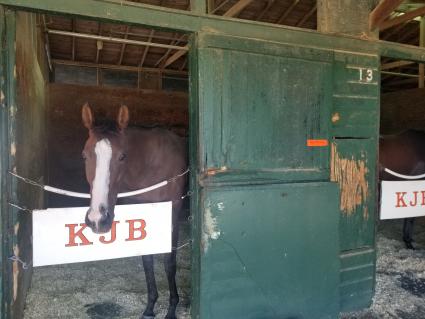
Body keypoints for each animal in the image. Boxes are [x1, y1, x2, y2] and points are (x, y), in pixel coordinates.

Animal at [80, 104, 186, 318]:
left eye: (122, 156)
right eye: (84, 155)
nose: (98, 219)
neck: (150, 165)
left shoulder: (173, 212)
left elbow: (169, 262)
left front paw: (172, 308)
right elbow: (147, 260)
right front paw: (150, 307)